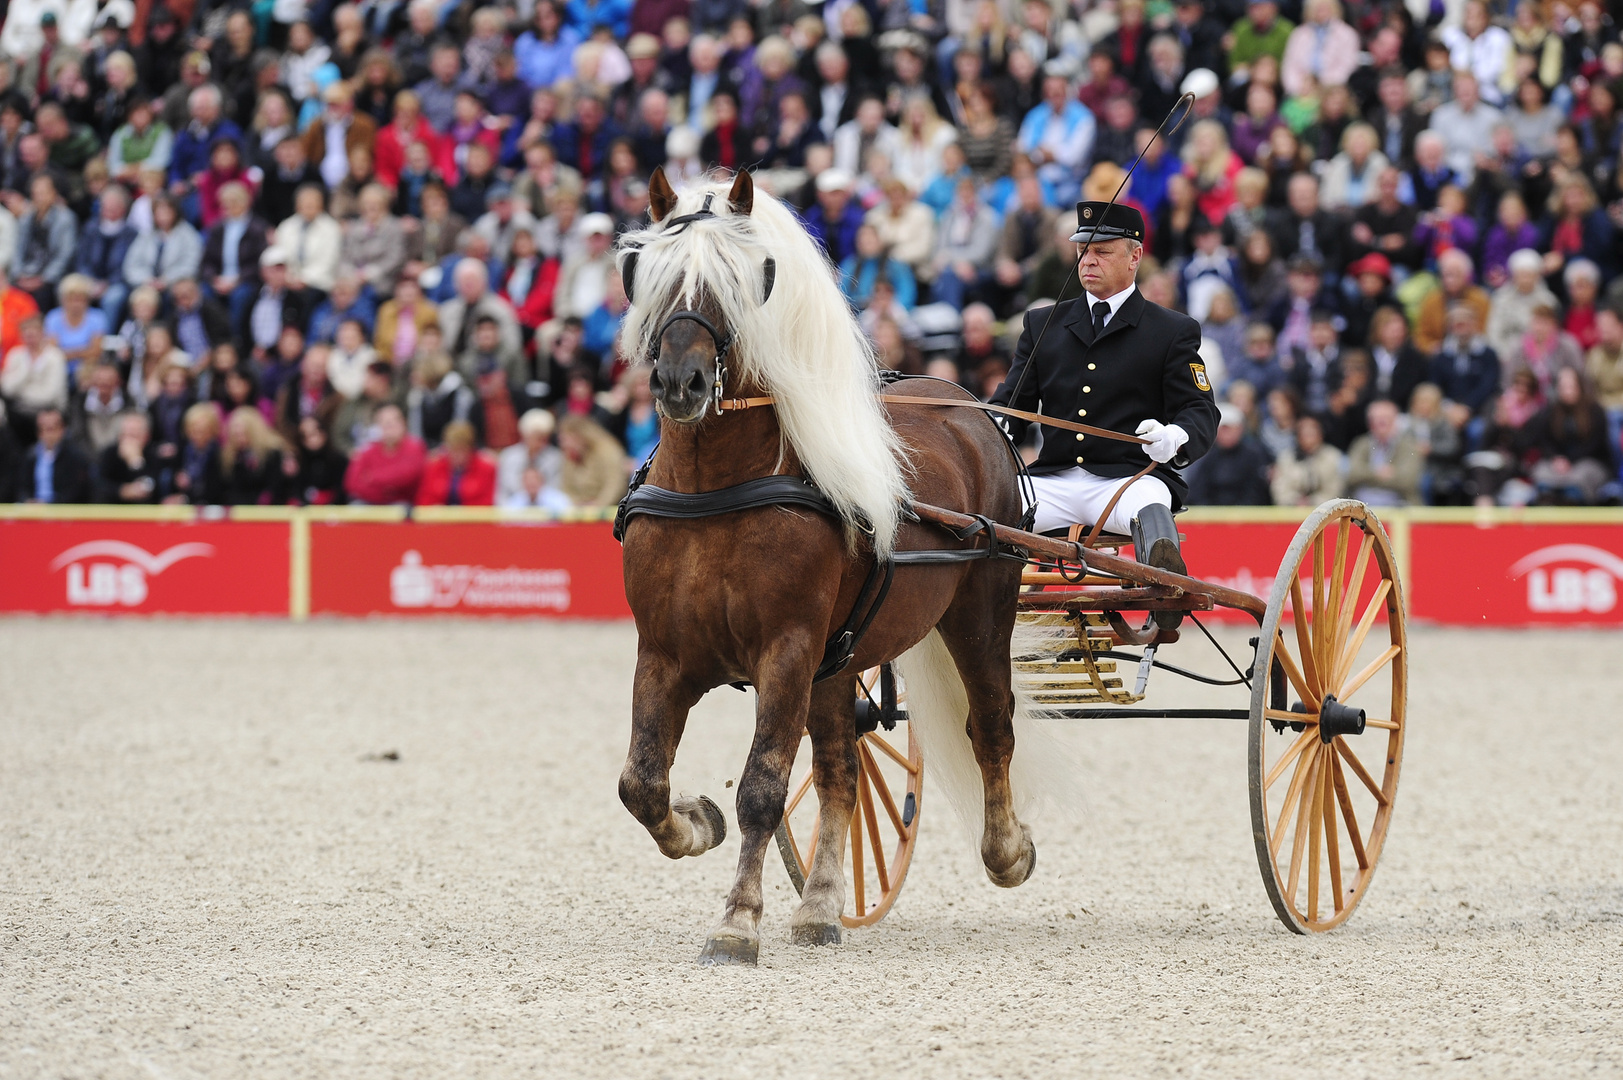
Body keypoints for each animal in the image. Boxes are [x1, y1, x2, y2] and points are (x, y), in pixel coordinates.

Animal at [616, 170, 1051, 967]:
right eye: (651, 278)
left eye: (740, 282)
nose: (680, 383)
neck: (714, 485)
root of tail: (966, 404)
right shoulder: (665, 652)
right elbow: (643, 782)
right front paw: (697, 822)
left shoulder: (786, 649)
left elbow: (762, 789)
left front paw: (737, 922)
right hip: (838, 661)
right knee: (842, 772)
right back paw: (820, 907)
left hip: (979, 608)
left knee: (991, 725)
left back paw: (1007, 851)